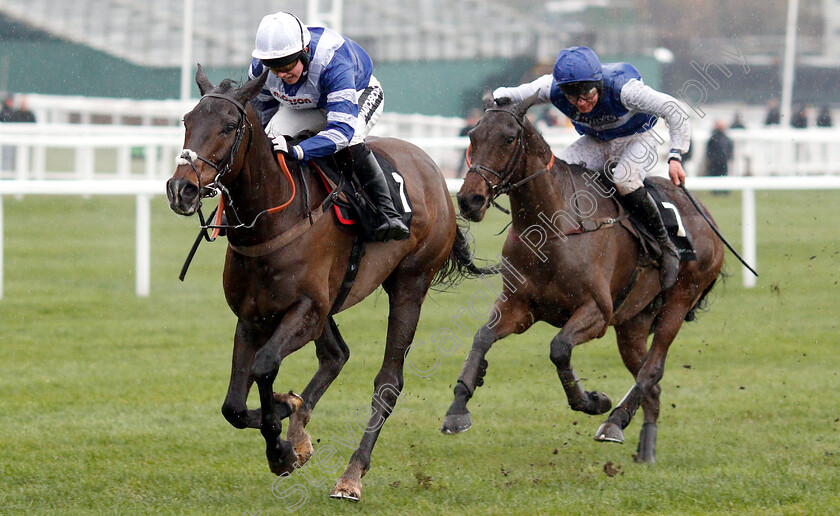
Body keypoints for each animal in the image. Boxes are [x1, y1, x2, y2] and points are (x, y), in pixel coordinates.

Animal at [166, 65, 486, 500]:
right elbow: (233, 405)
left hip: (410, 283)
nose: (181, 189)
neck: (271, 219)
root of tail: (433, 168)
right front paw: (290, 422)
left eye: (230, 126)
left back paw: (351, 475)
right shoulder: (253, 316)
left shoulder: (307, 309)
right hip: (333, 299)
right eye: (187, 121)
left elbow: (264, 366)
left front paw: (281, 447)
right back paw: (302, 426)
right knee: (336, 355)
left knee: (388, 382)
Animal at [442, 89, 724, 464]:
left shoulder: (597, 312)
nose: (470, 199)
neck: (551, 230)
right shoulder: (519, 306)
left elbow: (559, 348)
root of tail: (707, 217)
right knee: (650, 380)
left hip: (677, 302)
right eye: (472, 136)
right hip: (632, 323)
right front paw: (457, 408)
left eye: (509, 138)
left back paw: (614, 422)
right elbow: (482, 337)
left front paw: (592, 400)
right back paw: (644, 446)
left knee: (653, 368)